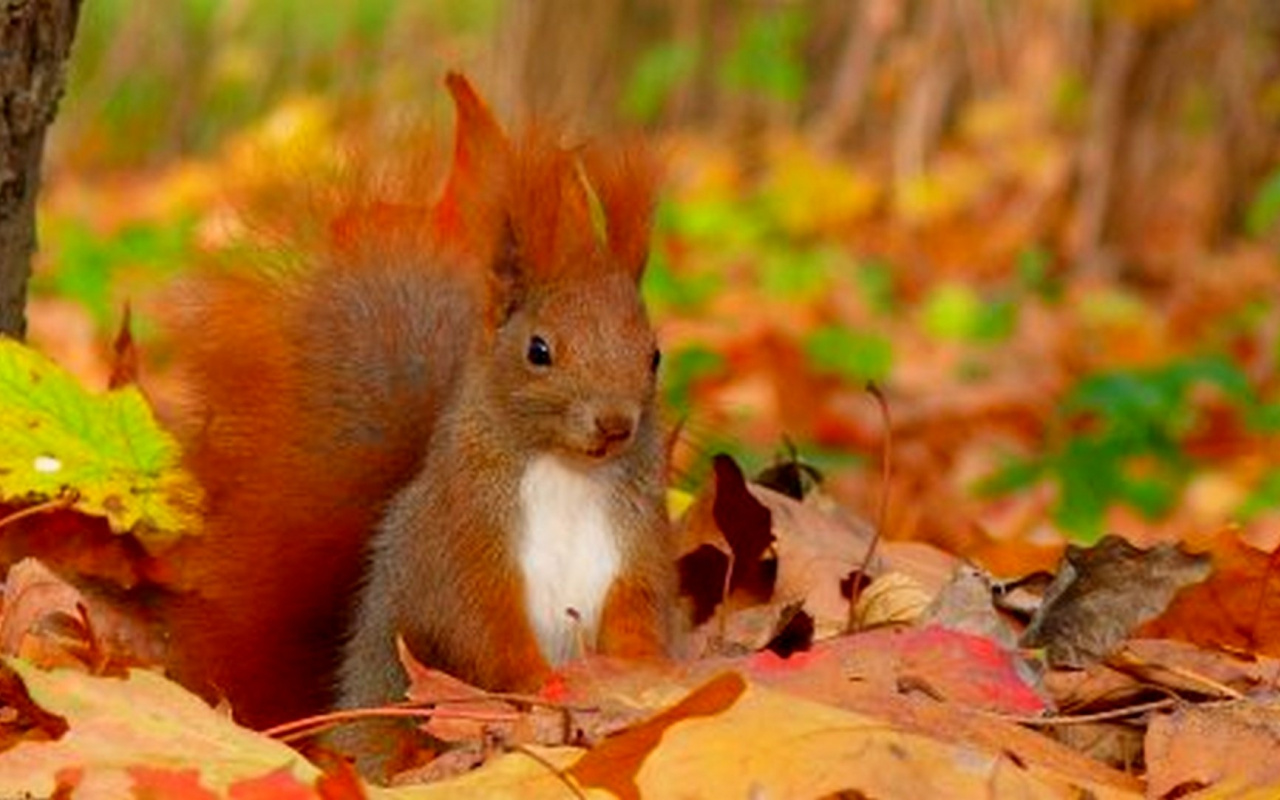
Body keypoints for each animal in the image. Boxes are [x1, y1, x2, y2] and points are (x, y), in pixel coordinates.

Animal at [165, 71, 675, 757]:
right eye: (539, 351)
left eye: (654, 355)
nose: (615, 425)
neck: (567, 473)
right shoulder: (464, 546)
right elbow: (483, 630)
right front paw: (543, 686)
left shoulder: (636, 546)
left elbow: (639, 613)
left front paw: (645, 677)